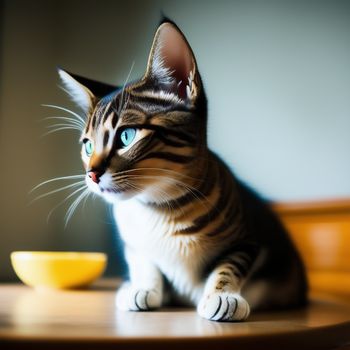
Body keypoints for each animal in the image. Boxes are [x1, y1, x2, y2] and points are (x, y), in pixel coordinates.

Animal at [57, 18, 306, 320]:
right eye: (88, 145)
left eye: (126, 136)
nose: (91, 174)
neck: (160, 211)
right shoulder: (134, 244)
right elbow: (144, 262)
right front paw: (142, 287)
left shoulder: (248, 239)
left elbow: (230, 265)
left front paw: (222, 295)